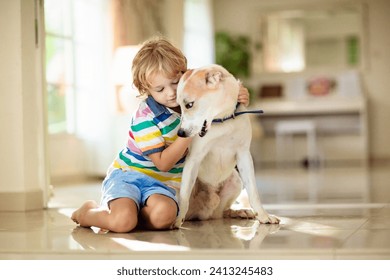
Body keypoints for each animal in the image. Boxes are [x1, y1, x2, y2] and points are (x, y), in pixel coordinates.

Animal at [174, 64, 280, 228]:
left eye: (189, 105)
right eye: (178, 106)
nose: (181, 133)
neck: (222, 119)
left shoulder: (244, 155)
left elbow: (253, 192)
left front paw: (263, 216)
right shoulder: (194, 159)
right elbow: (184, 196)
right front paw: (177, 220)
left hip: (236, 180)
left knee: (221, 212)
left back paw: (240, 212)